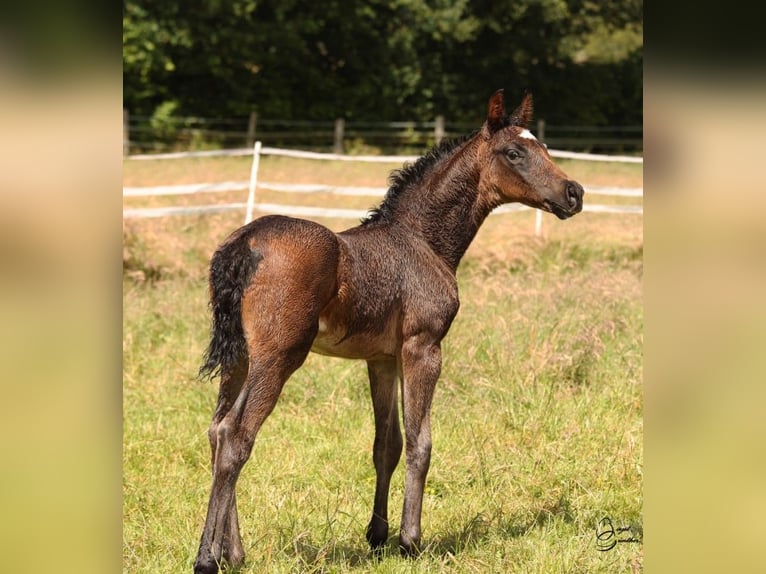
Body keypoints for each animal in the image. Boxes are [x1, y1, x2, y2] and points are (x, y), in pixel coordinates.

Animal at [195, 90, 584, 574]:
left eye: (544, 147)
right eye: (514, 152)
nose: (574, 193)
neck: (422, 240)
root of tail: (241, 246)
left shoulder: (381, 358)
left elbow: (387, 444)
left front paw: (377, 538)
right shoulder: (423, 347)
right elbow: (421, 441)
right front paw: (410, 540)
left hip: (240, 358)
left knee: (217, 431)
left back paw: (232, 552)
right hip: (279, 356)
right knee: (237, 436)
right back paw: (208, 558)